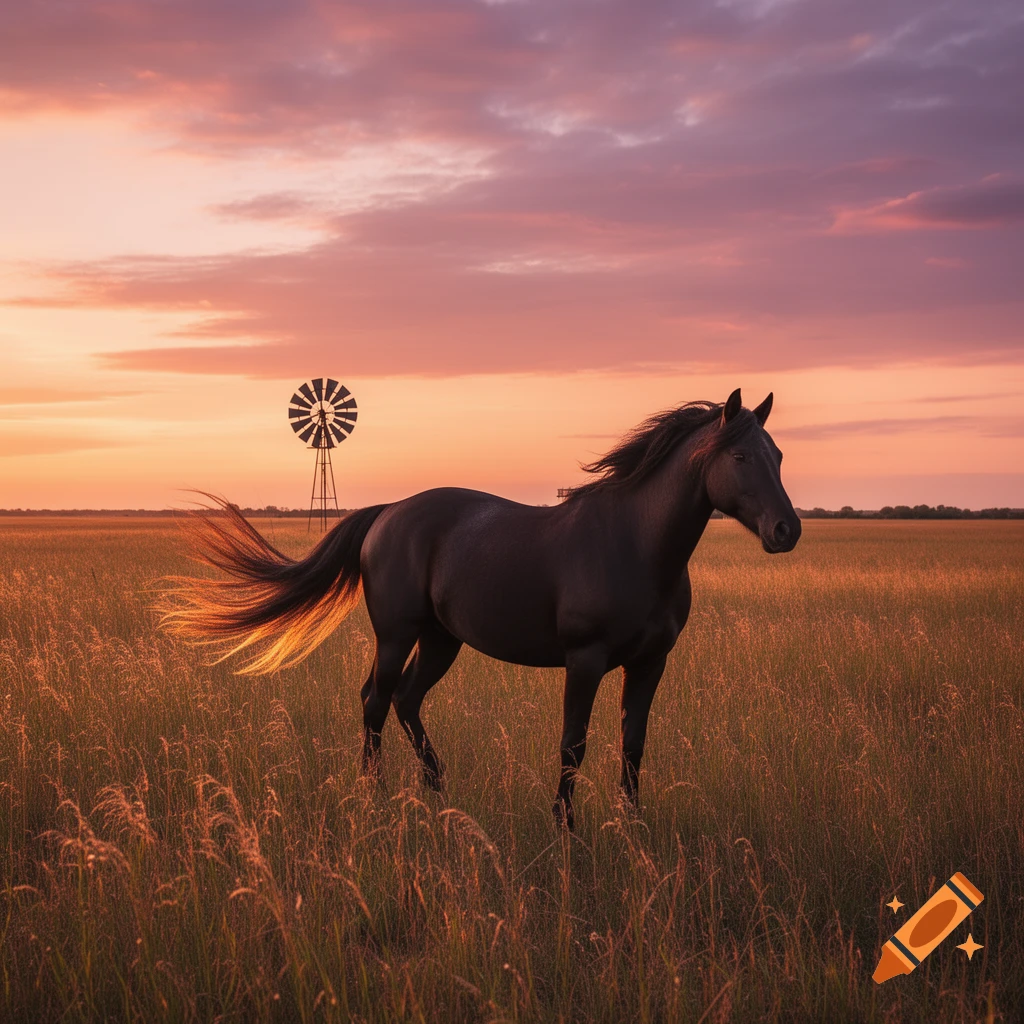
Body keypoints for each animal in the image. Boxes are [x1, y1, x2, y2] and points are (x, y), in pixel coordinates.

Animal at [162, 388, 801, 828]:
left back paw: (437, 788)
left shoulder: (651, 663)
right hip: (397, 635)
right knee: (375, 700)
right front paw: (565, 826)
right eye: (740, 457)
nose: (786, 530)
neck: (635, 544)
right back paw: (374, 794)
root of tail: (388, 512)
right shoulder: (585, 661)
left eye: (777, 454)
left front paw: (632, 826)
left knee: (405, 699)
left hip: (442, 640)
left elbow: (633, 743)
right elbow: (574, 743)